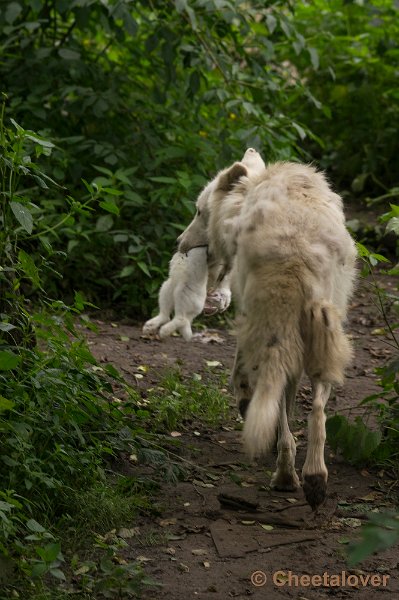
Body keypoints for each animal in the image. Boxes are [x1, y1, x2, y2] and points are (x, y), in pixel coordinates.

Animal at [180, 151, 358, 510]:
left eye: (199, 211)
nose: (179, 244)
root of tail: (297, 251)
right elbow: (290, 400)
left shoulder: (246, 316)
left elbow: (243, 378)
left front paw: (246, 406)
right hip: (325, 332)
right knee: (317, 409)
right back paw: (314, 479)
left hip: (269, 327)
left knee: (274, 398)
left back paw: (286, 476)